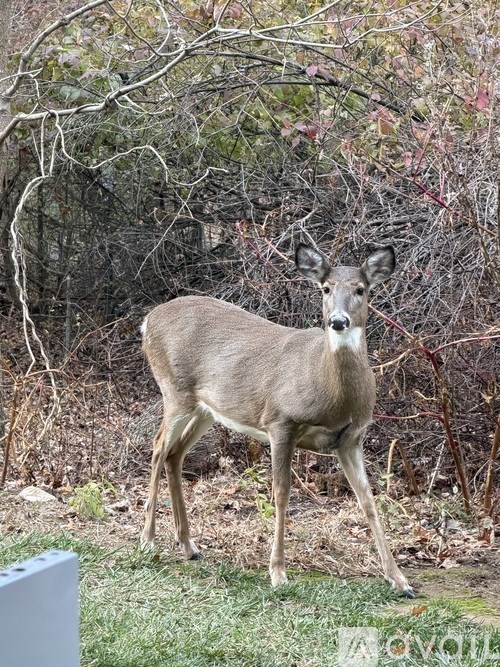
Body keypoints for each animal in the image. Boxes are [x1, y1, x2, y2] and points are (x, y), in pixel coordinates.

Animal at [140, 243, 415, 598]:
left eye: (361, 289)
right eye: (325, 289)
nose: (338, 321)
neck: (333, 394)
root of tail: (148, 320)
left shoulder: (351, 438)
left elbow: (367, 500)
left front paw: (399, 580)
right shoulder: (281, 421)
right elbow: (282, 493)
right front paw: (278, 572)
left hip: (207, 408)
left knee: (175, 454)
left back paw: (189, 546)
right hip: (174, 390)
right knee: (158, 448)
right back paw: (148, 540)